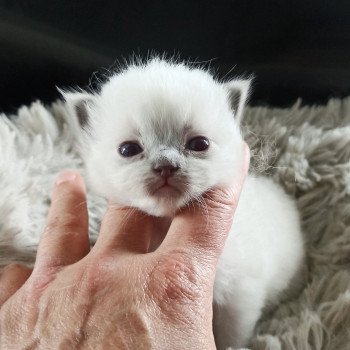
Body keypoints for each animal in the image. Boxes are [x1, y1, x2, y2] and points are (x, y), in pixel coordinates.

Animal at [62, 58, 304, 348]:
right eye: (128, 150)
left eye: (199, 144)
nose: (166, 165)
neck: (166, 226)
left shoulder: (239, 296)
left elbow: (231, 335)